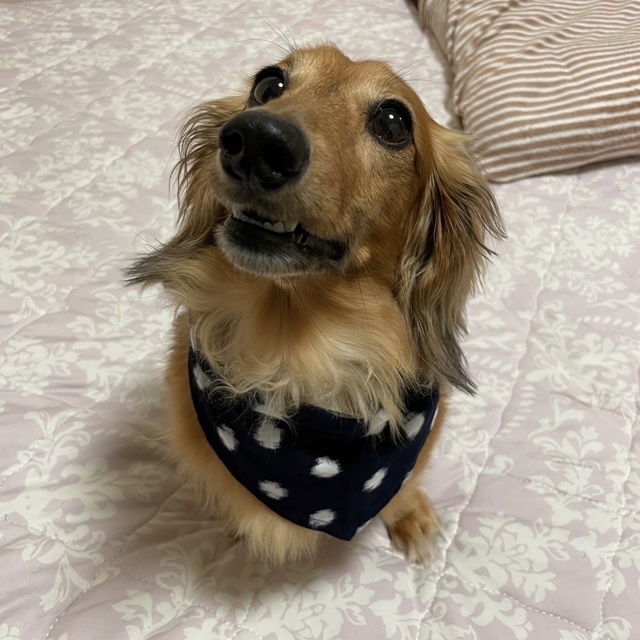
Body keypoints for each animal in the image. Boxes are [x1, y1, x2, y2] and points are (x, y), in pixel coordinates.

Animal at [127, 44, 504, 564]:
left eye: (393, 121)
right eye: (268, 85)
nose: (257, 140)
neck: (294, 351)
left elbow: (403, 489)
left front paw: (410, 515)